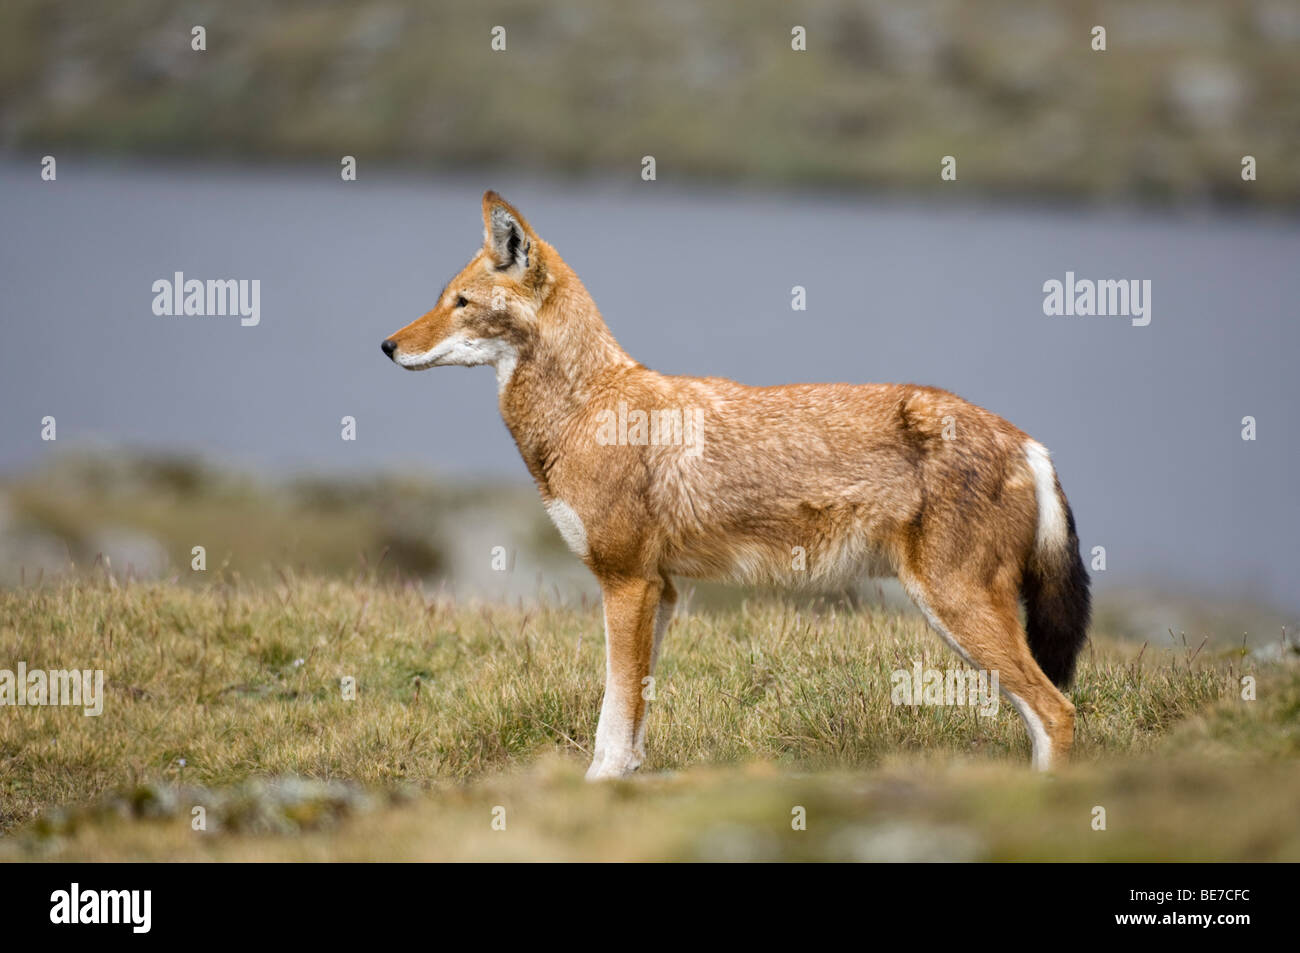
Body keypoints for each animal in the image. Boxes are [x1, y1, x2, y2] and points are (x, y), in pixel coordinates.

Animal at [379, 191, 1092, 774]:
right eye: (442, 299)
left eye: (460, 304)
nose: (386, 346)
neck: (587, 407)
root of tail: (1031, 444)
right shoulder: (661, 590)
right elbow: (630, 725)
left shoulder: (627, 583)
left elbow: (612, 724)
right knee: (1048, 714)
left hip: (957, 610)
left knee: (1058, 713)